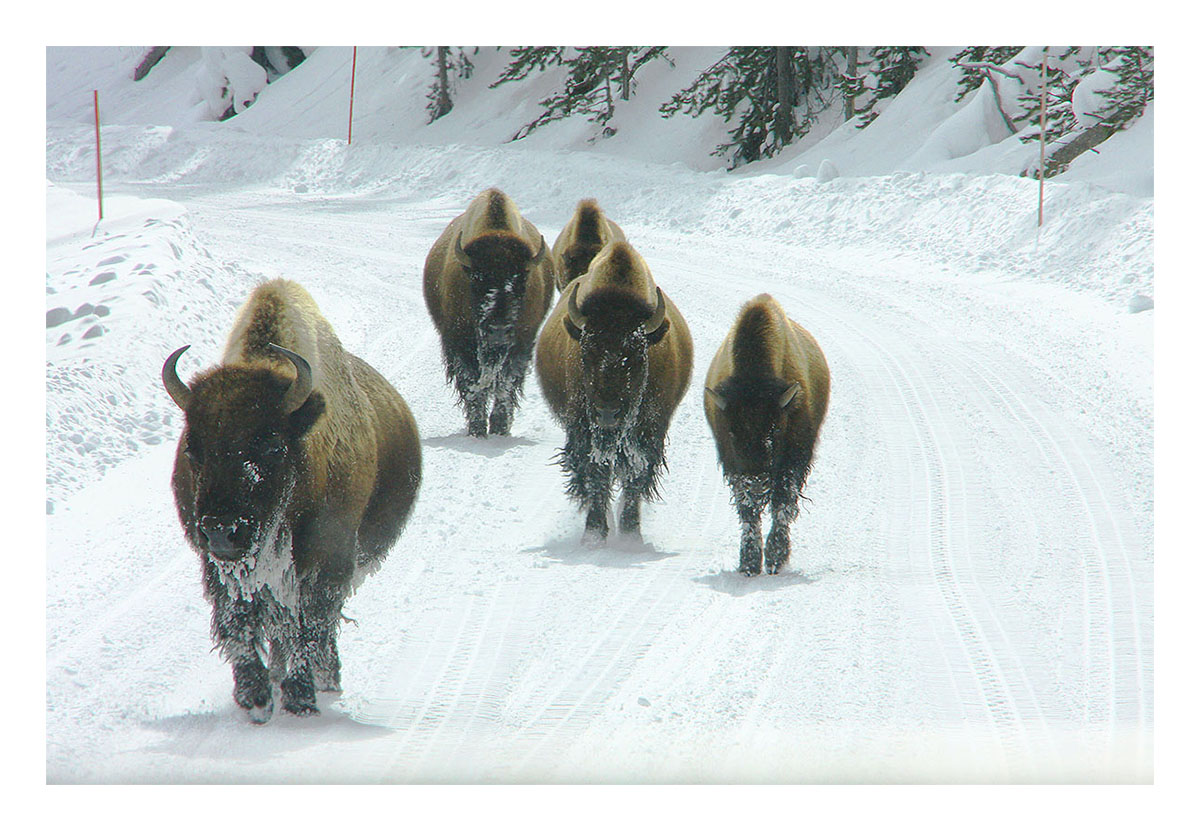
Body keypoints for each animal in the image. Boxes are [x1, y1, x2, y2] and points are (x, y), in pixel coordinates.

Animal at [159, 278, 422, 720]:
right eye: (194, 448)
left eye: (271, 445)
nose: (222, 532)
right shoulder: (217, 566)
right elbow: (240, 624)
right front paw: (254, 696)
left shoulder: (324, 558)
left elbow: (308, 624)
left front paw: (300, 698)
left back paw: (323, 681)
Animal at [424, 187, 554, 434]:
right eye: (477, 280)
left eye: (521, 282)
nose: (498, 331)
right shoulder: (459, 343)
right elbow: (472, 387)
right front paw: (477, 429)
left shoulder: (521, 344)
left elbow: (505, 384)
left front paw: (499, 427)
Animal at [537, 238, 696, 545]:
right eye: (586, 353)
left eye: (636, 356)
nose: (608, 413)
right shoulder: (583, 431)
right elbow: (596, 474)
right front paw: (595, 533)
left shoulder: (650, 432)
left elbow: (637, 475)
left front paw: (631, 533)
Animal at [700, 295, 825, 574]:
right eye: (732, 433)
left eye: (775, 430)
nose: (757, 482)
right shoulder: (734, 466)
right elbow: (748, 511)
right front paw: (749, 563)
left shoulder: (793, 461)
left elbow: (782, 504)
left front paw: (776, 558)